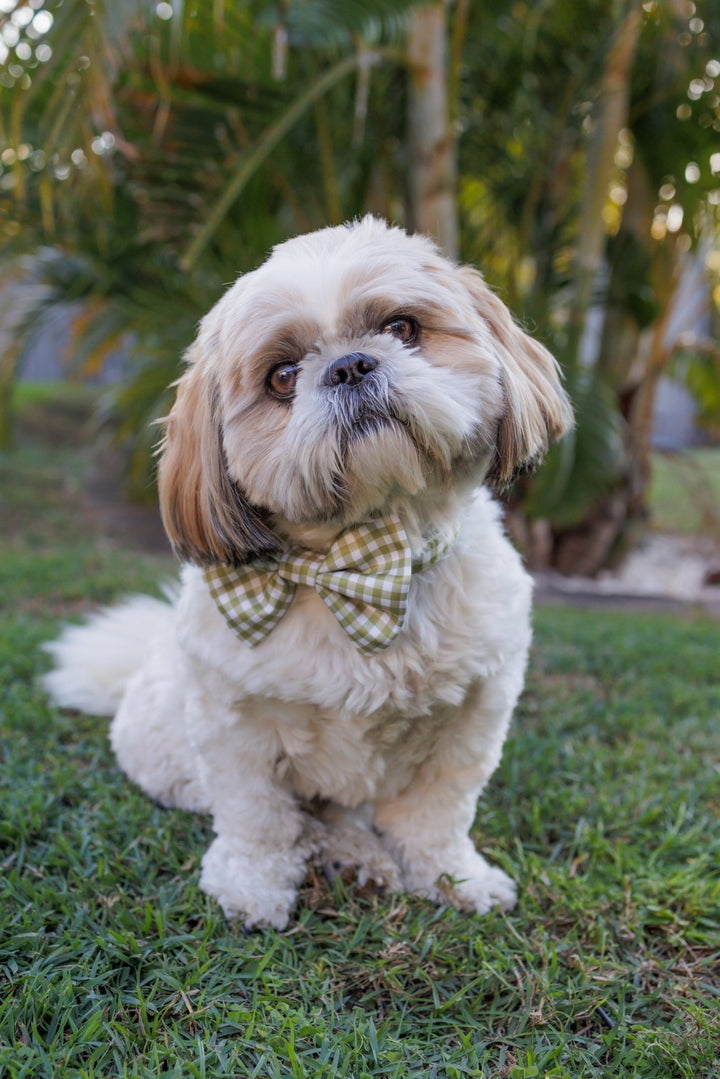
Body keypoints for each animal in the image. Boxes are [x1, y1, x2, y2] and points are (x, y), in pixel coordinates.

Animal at [45, 216, 574, 927]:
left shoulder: (474, 715)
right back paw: (346, 853)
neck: (361, 560)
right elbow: (259, 817)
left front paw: (454, 878)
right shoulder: (232, 724)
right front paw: (251, 886)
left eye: (402, 327)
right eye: (283, 376)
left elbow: (437, 813)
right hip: (172, 758)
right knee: (301, 816)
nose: (350, 365)